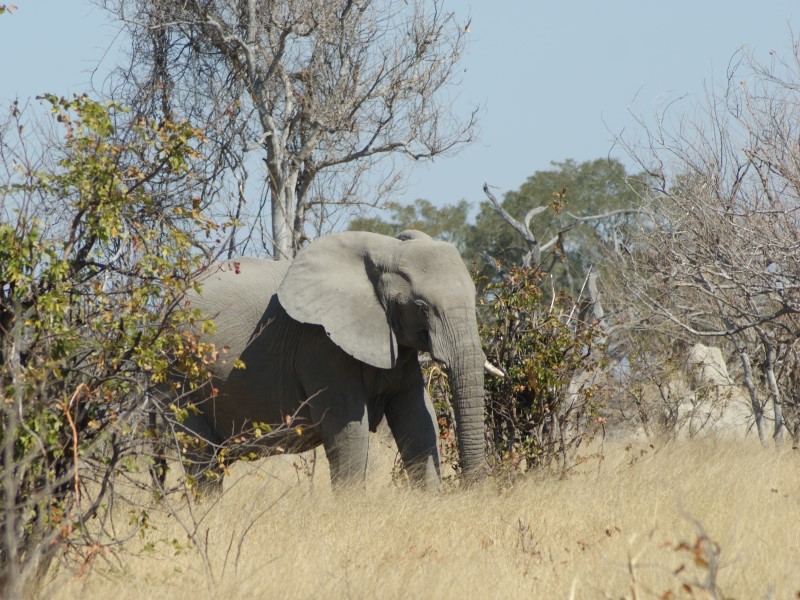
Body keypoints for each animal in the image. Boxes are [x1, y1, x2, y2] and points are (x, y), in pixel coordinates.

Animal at [173, 231, 488, 492]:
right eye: (421, 307)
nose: (472, 488)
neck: (387, 250)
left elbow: (419, 420)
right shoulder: (320, 346)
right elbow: (348, 431)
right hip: (182, 376)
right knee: (201, 459)